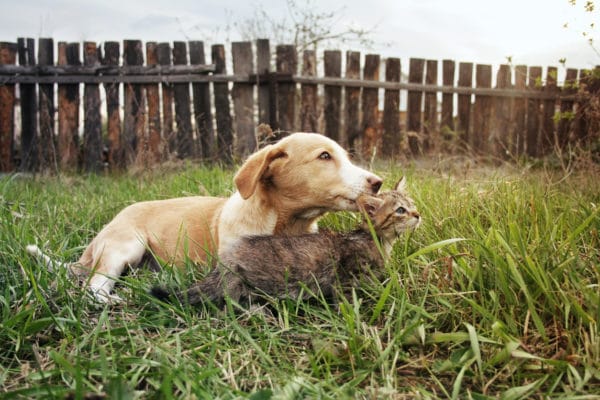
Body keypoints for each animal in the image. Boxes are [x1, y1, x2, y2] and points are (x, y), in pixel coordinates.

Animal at [25, 133, 382, 302]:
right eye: (324, 157)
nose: (378, 182)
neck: (285, 224)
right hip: (124, 246)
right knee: (94, 287)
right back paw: (115, 300)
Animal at [152, 177, 420, 306]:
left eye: (412, 204)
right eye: (400, 210)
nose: (418, 214)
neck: (375, 240)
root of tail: (226, 262)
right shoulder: (345, 278)